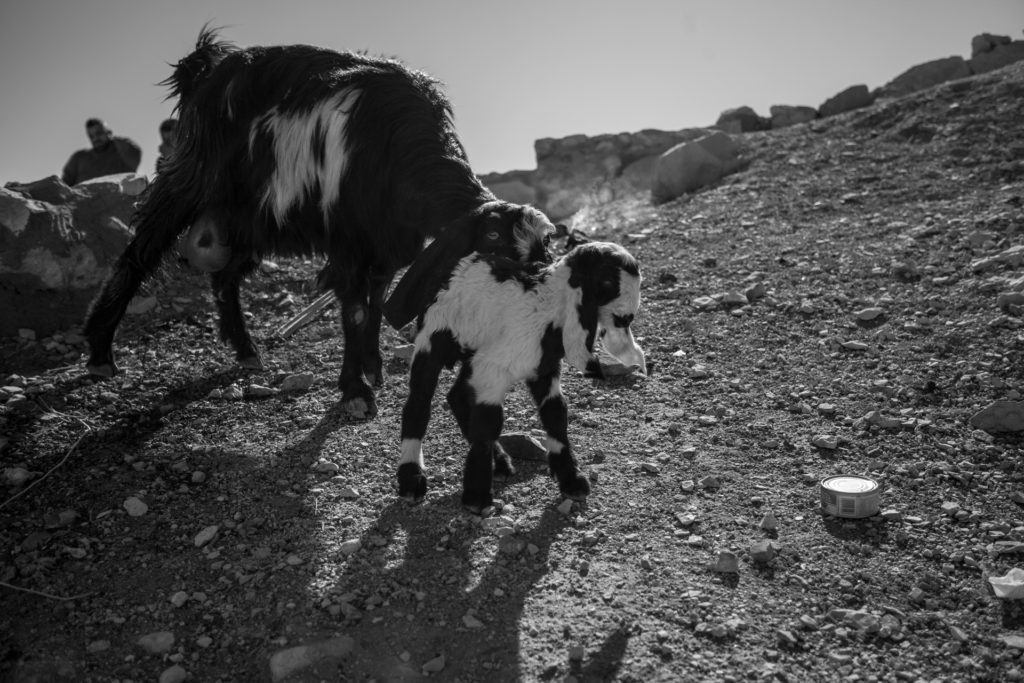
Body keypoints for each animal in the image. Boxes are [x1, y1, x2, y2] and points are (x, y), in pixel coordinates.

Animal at [83, 28, 557, 417]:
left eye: (542, 250)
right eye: (491, 235)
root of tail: (207, 69)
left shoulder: (390, 244)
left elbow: (376, 300)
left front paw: (373, 367)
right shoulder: (348, 241)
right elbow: (355, 310)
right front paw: (355, 391)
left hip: (251, 219)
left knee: (225, 278)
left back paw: (246, 350)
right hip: (190, 178)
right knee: (140, 252)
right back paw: (101, 353)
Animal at [395, 240, 643, 511]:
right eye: (607, 281)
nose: (626, 318)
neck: (546, 310)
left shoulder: (543, 369)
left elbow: (556, 414)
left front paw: (572, 481)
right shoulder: (493, 370)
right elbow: (488, 422)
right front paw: (477, 497)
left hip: (474, 353)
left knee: (457, 395)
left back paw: (500, 463)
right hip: (434, 336)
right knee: (419, 401)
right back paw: (412, 480)